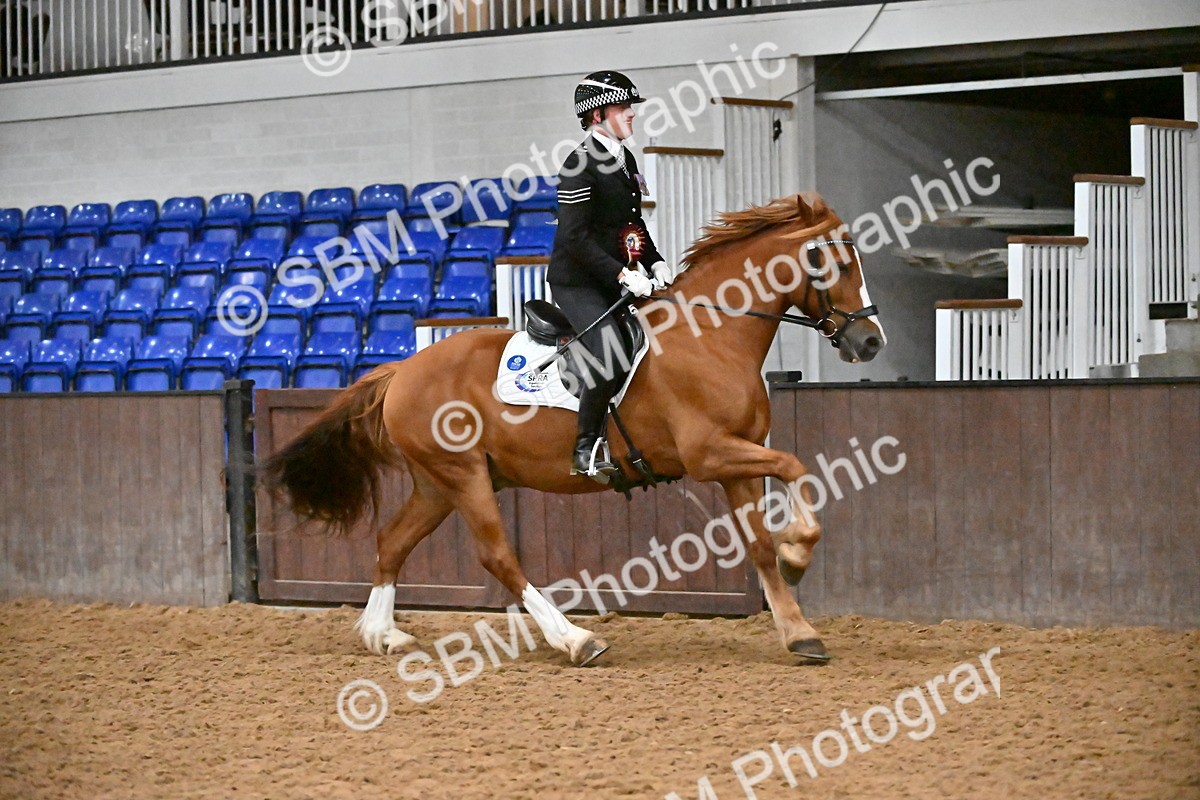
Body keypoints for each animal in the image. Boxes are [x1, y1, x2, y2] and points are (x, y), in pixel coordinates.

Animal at [261, 193, 885, 666]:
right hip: (462, 477)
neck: (712, 336)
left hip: (438, 483)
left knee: (392, 541)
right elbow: (796, 466)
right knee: (498, 557)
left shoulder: (739, 459)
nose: (870, 341)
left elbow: (758, 540)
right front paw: (798, 554)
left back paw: (383, 633)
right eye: (835, 264)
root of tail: (401, 370)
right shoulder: (711, 455)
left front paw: (798, 629)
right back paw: (575, 639)